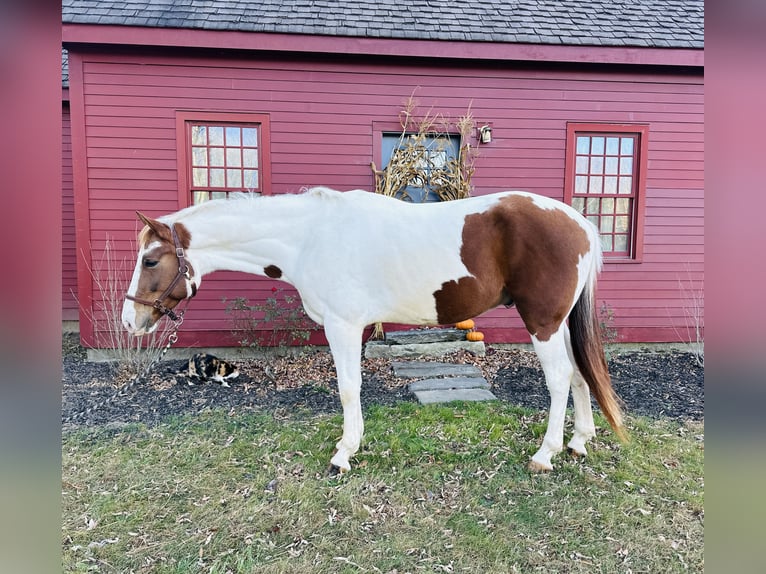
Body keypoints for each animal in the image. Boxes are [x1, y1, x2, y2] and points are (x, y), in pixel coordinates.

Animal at [123, 187, 628, 474]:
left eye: (150, 260)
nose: (130, 321)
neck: (310, 236)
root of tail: (580, 223)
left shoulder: (343, 327)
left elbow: (349, 389)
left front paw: (343, 454)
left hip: (542, 323)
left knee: (560, 378)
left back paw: (545, 455)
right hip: (558, 324)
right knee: (580, 375)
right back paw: (578, 443)